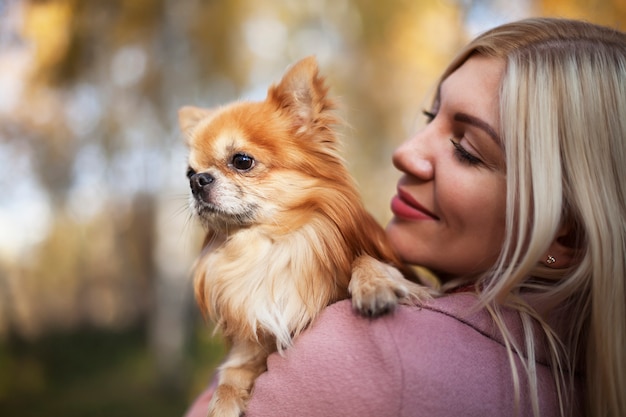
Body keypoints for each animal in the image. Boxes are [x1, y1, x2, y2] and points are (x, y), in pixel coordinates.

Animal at [178, 56, 426, 416]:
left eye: (241, 161)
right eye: (189, 173)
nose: (198, 182)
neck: (271, 246)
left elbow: (364, 258)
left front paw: (375, 285)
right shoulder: (254, 339)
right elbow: (232, 372)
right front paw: (223, 402)